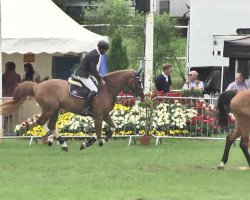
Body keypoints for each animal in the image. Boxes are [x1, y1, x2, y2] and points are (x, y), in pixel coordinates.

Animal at [0, 69, 145, 151]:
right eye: (138, 81)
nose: (143, 96)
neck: (108, 89)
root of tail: (37, 85)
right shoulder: (98, 115)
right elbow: (98, 134)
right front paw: (87, 143)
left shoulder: (105, 114)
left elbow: (113, 129)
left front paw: (102, 141)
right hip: (50, 109)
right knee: (41, 122)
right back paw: (52, 138)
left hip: (55, 110)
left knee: (51, 125)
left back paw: (61, 143)